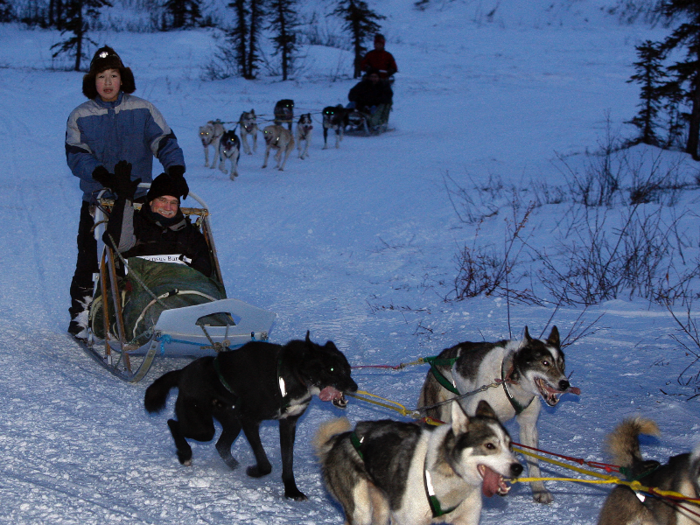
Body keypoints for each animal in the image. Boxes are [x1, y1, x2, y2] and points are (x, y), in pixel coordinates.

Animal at [145, 332, 358, 500]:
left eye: (348, 369)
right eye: (331, 369)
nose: (354, 387)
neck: (286, 376)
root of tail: (182, 373)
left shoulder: (287, 424)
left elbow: (288, 463)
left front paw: (291, 491)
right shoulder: (250, 421)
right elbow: (265, 463)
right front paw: (254, 471)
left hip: (231, 423)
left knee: (220, 445)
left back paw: (234, 467)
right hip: (202, 427)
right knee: (173, 423)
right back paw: (185, 454)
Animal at [314, 400, 524, 520]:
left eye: (510, 445)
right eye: (489, 446)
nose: (518, 468)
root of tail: (341, 438)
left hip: (382, 508)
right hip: (361, 511)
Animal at [418, 326, 576, 502]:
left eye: (562, 364)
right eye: (545, 363)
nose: (565, 384)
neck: (510, 380)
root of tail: (438, 358)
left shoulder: (528, 425)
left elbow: (533, 460)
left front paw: (539, 489)